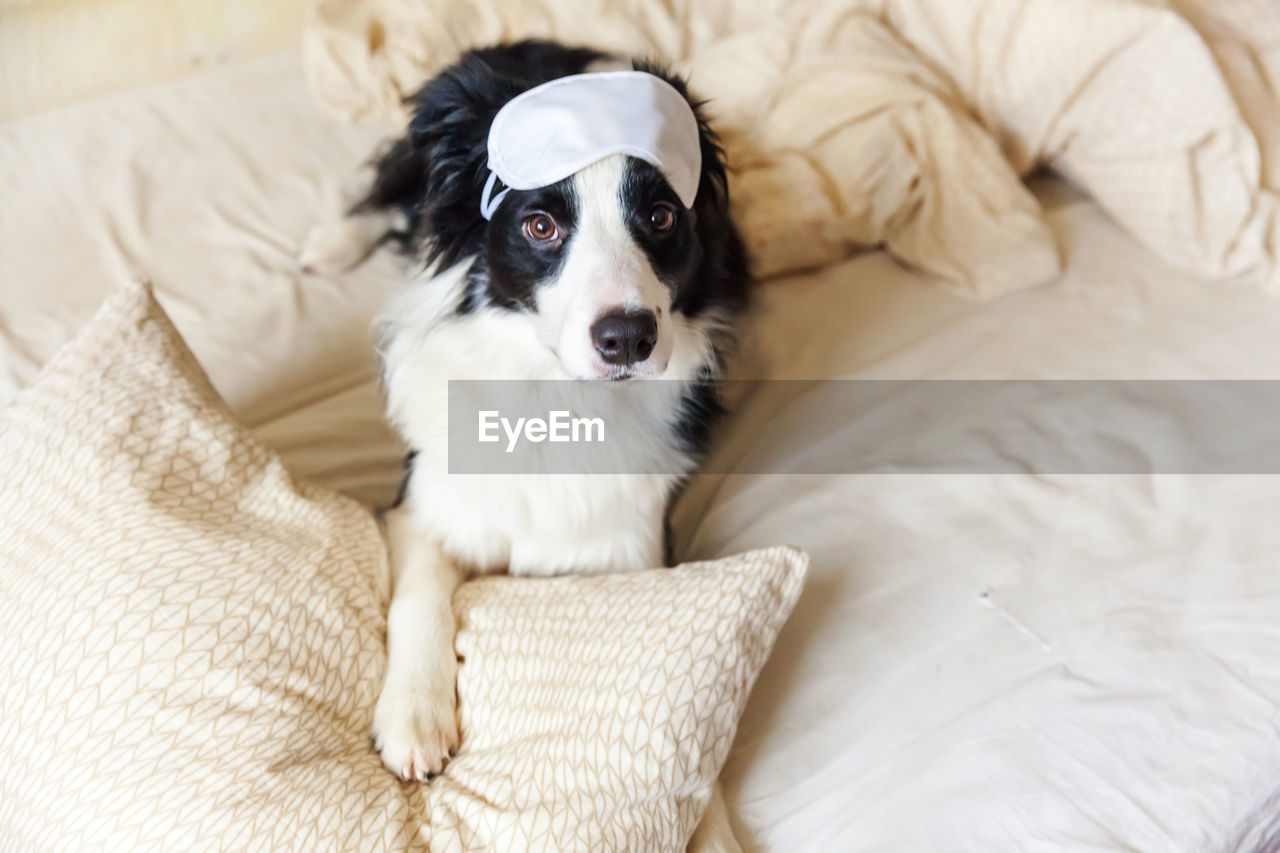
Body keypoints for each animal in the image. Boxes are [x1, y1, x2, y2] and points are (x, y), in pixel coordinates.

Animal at [303, 38, 747, 845]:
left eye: (662, 215)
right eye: (541, 226)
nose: (628, 337)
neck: (556, 397)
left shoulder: (634, 547)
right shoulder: (424, 505)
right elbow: (420, 594)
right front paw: (413, 719)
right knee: (387, 190)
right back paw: (332, 242)